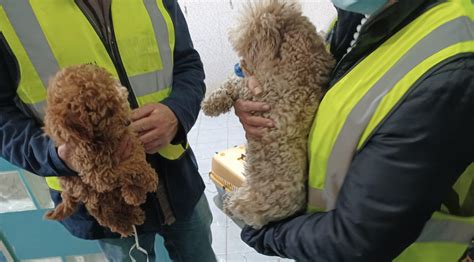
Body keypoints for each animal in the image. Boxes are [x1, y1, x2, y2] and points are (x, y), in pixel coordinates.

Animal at [43, 64, 157, 236]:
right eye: (108, 112)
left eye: (119, 102)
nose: (127, 122)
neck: (100, 139)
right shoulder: (98, 174)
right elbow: (127, 168)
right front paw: (147, 179)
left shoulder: (129, 139)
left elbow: (135, 156)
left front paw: (135, 192)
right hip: (90, 194)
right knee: (103, 213)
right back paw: (123, 226)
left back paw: (134, 211)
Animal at [202, 0, 336, 228]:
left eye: (247, 47)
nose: (239, 64)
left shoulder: (257, 94)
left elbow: (234, 83)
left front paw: (210, 103)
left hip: (246, 202)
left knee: (235, 204)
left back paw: (228, 203)